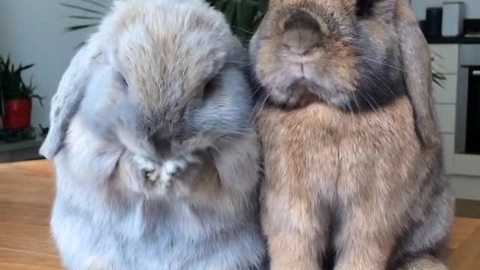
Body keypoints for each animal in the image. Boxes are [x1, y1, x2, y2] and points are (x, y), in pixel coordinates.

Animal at [251, 0, 454, 270]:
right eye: (269, 7)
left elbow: (361, 251)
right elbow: (294, 248)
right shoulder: (290, 208)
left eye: (364, 8)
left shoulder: (370, 214)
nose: (299, 41)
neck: (326, 110)